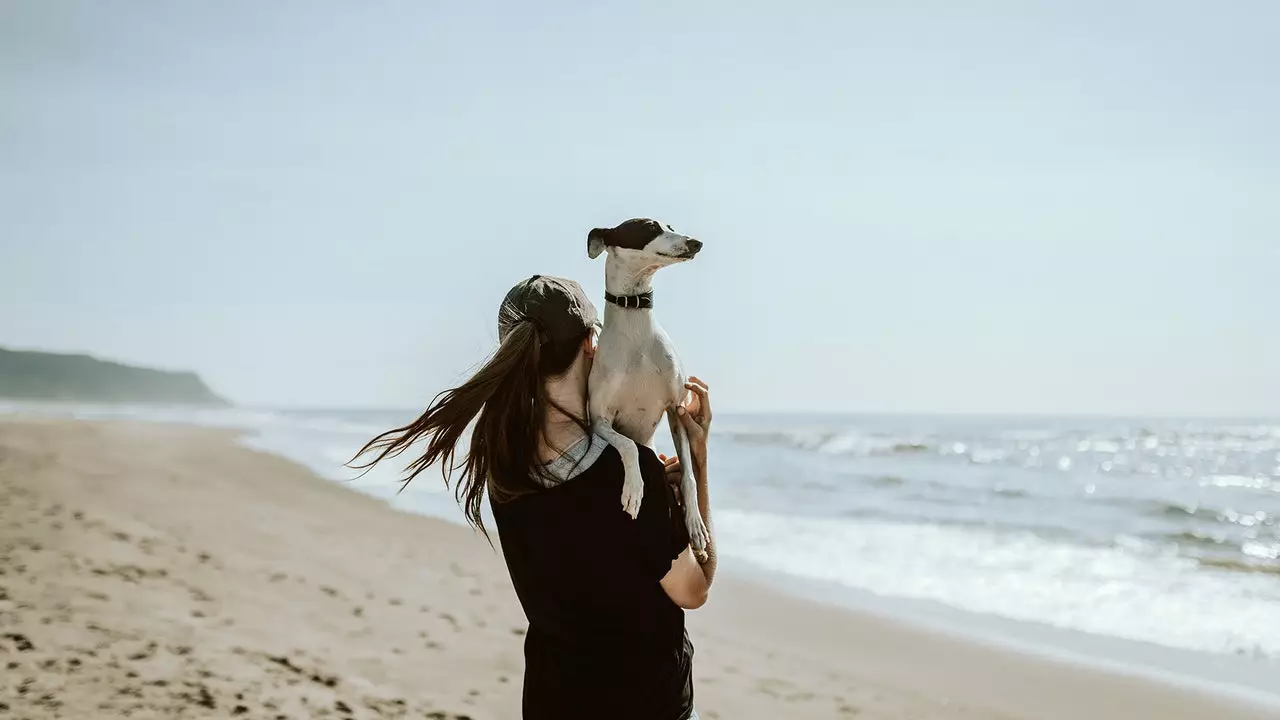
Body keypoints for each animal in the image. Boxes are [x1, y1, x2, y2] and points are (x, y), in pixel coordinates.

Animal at [586, 215, 716, 550]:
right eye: (648, 227)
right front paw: (634, 490)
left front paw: (695, 524)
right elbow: (629, 445)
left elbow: (689, 475)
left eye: (670, 226)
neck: (636, 332)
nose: (696, 243)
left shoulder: (675, 409)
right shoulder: (599, 420)